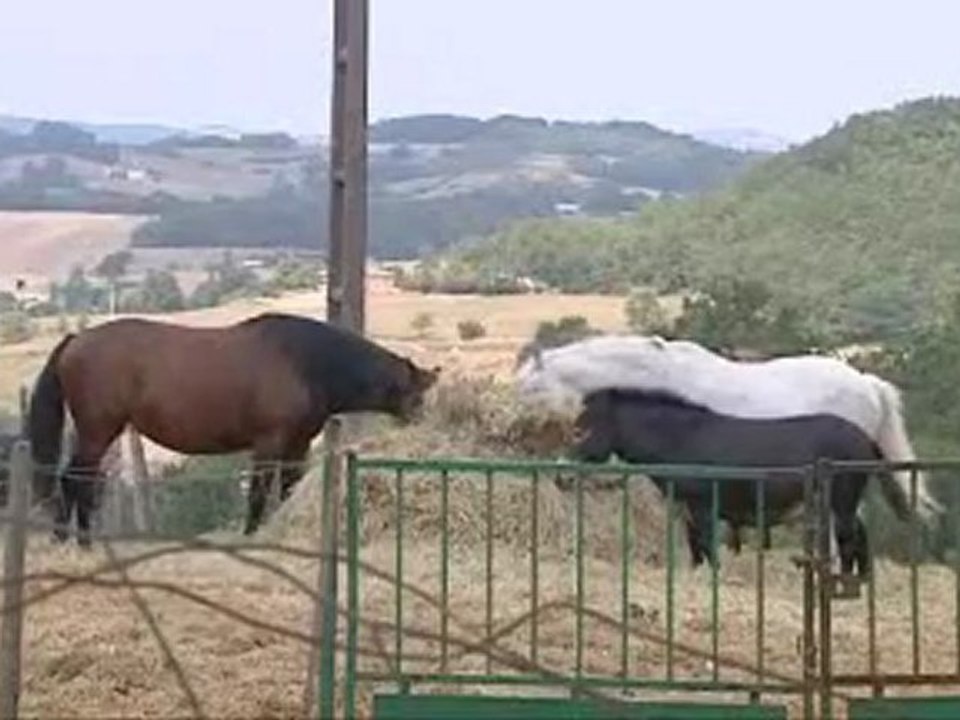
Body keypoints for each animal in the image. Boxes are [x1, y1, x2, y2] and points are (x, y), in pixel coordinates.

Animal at [28, 312, 441, 546]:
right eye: (415, 397)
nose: (424, 424)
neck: (306, 362)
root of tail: (75, 341)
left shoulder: (298, 445)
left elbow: (287, 489)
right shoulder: (269, 443)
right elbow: (258, 492)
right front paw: (251, 534)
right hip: (98, 431)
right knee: (75, 479)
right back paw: (76, 542)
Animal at [569, 388, 915, 577]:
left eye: (581, 430)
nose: (564, 476)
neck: (680, 438)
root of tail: (866, 437)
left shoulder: (703, 505)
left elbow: (709, 547)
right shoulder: (686, 509)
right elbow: (696, 550)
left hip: (841, 499)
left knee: (847, 540)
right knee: (859, 537)